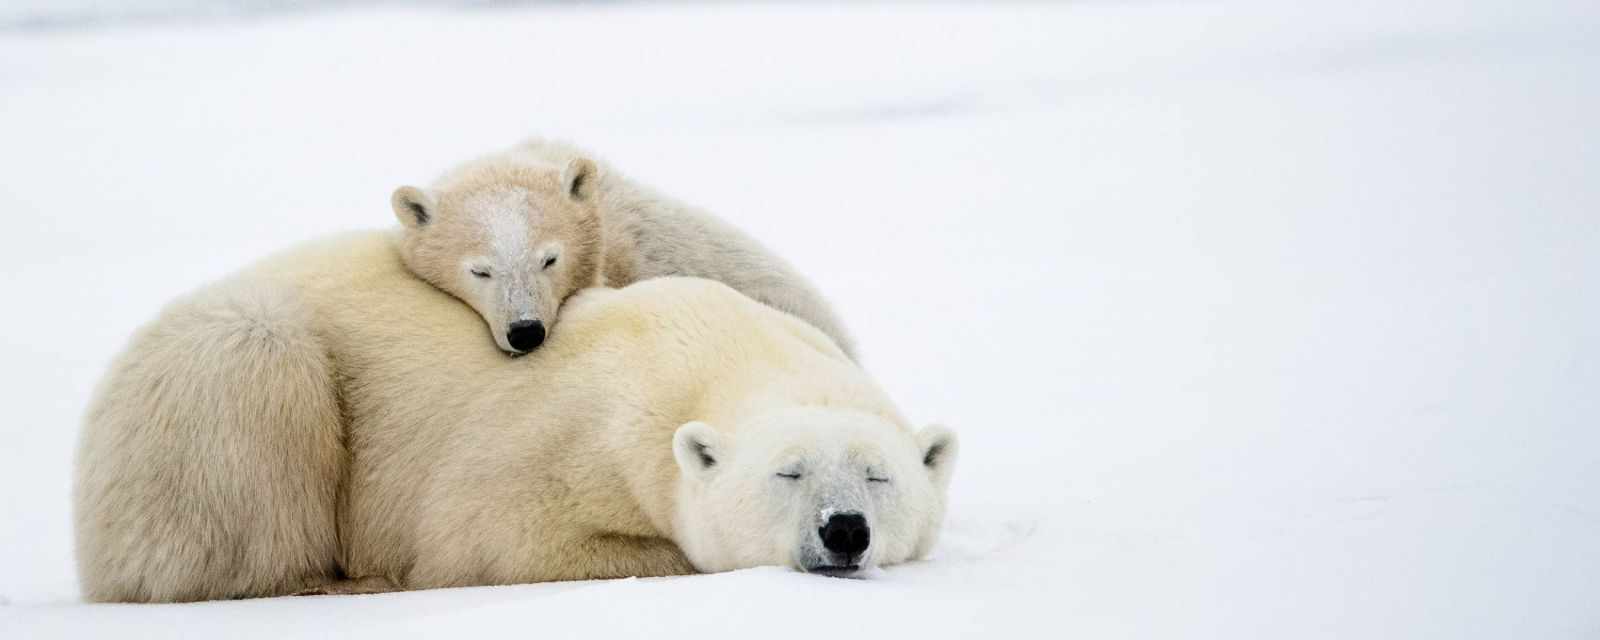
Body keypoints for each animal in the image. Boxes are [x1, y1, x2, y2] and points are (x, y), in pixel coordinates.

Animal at [75, 232, 953, 604]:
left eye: (878, 475)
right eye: (789, 471)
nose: (845, 530)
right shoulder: (555, 442)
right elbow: (499, 538)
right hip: (215, 383)